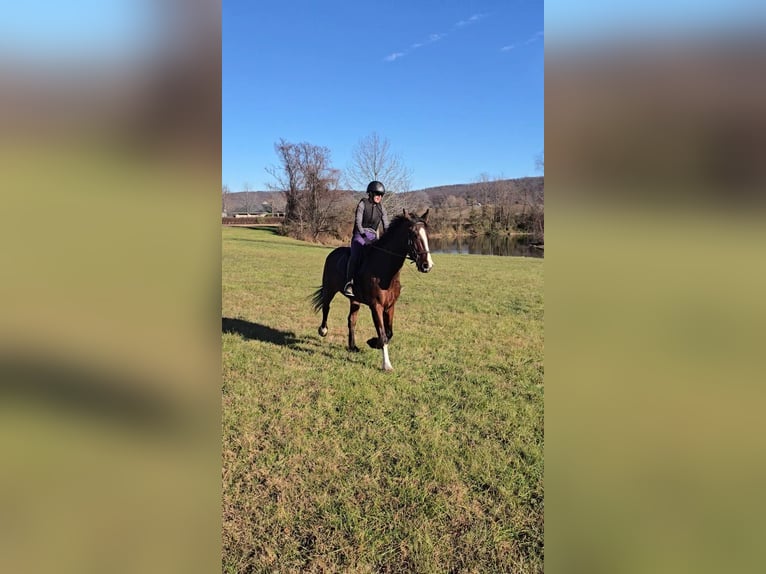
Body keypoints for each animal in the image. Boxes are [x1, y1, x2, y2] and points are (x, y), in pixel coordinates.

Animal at [311, 209, 434, 371]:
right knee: (326, 307)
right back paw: (323, 330)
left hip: (354, 300)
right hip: (329, 289)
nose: (427, 265)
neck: (385, 273)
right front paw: (386, 364)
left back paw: (352, 346)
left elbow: (389, 333)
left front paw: (372, 342)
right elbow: (383, 334)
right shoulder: (376, 306)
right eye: (413, 234)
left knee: (351, 320)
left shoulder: (390, 306)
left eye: (427, 234)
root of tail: (333, 253)